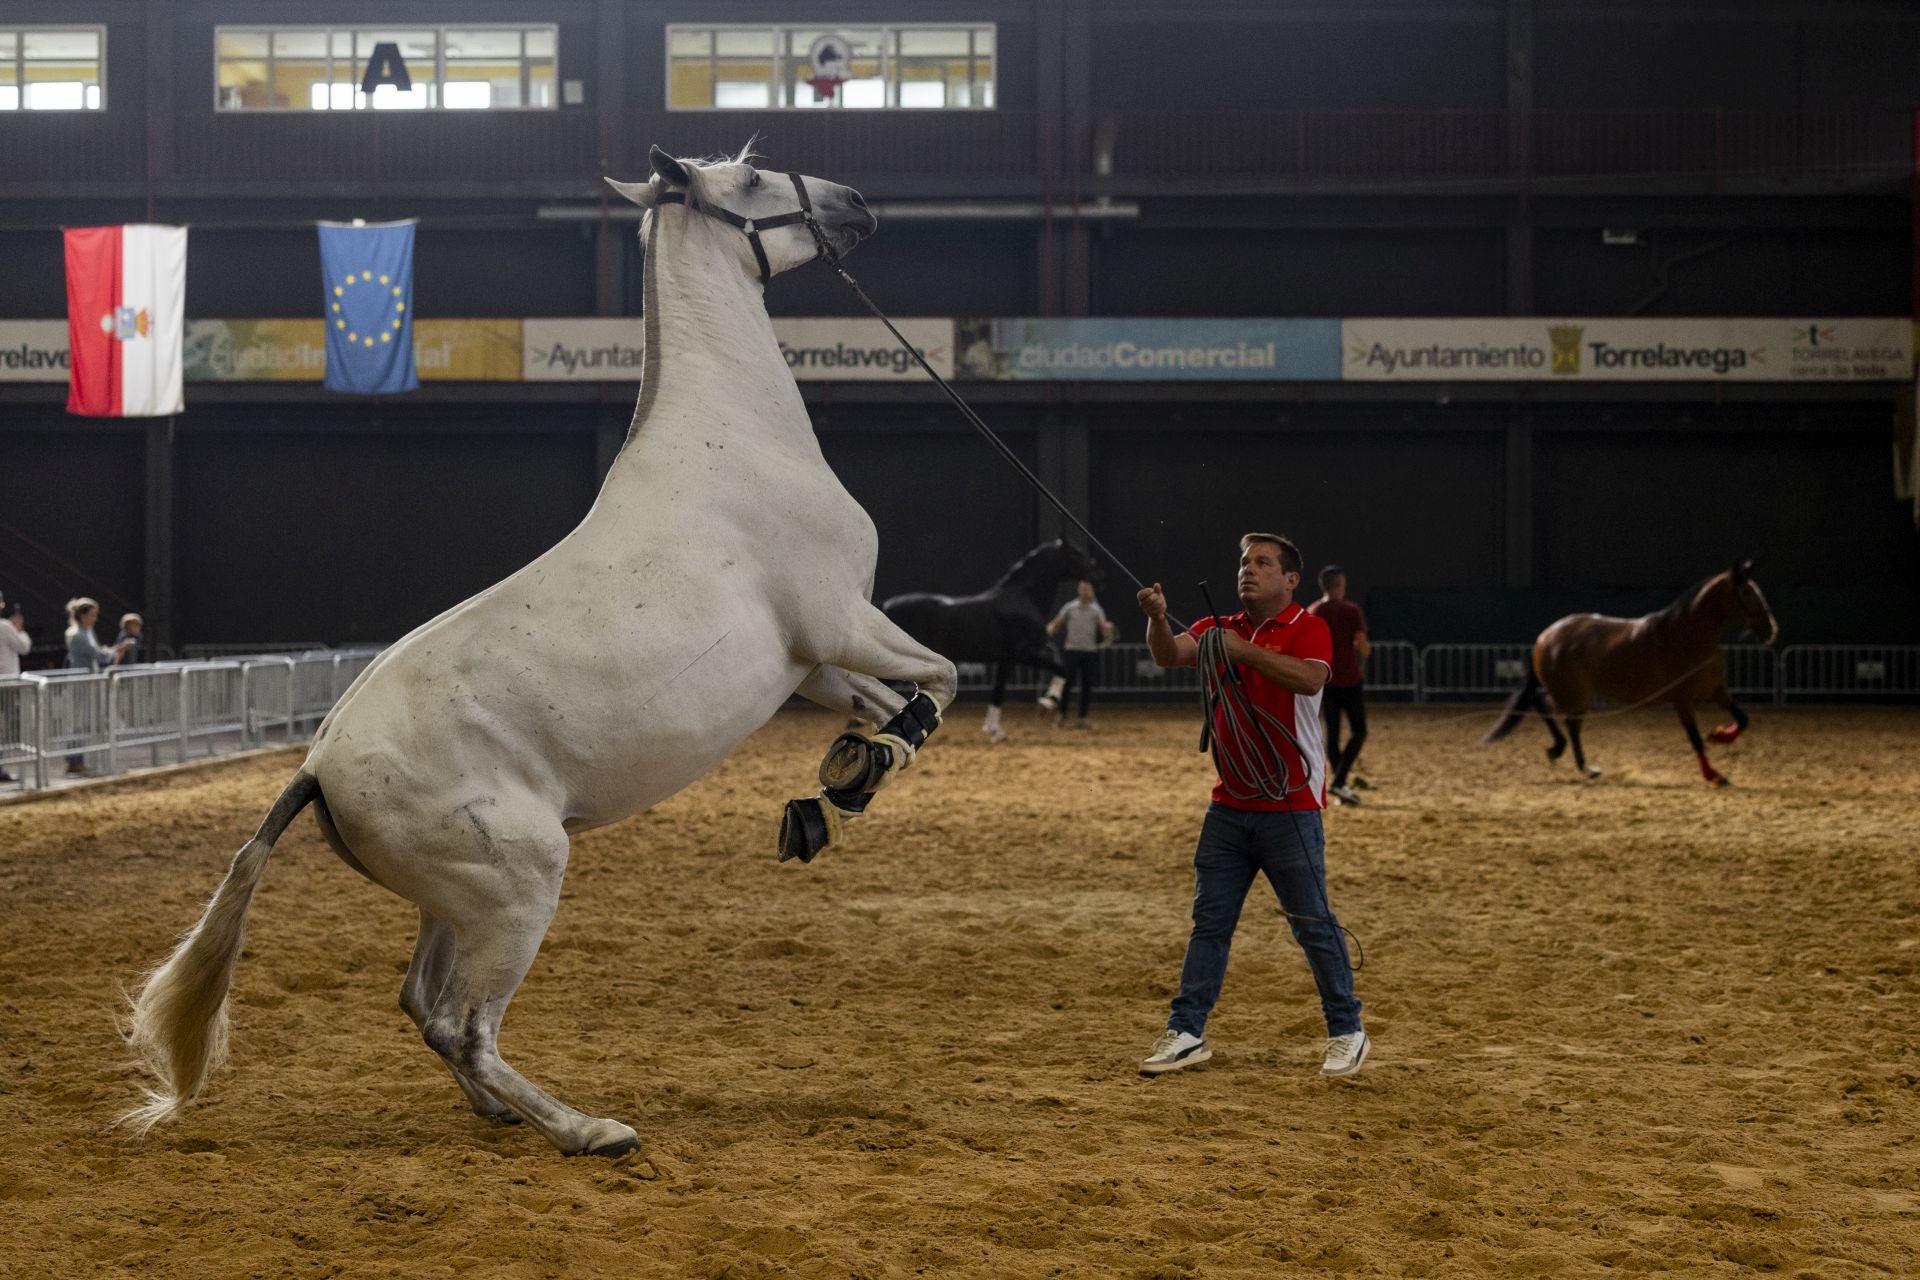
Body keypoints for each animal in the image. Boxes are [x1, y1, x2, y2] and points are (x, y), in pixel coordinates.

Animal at [121, 145, 959, 1159]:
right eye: (754, 179)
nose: (856, 204)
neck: (736, 442)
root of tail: (317, 766)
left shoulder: (812, 659)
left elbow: (887, 701)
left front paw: (849, 776)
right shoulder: (842, 618)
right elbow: (943, 677)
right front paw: (865, 770)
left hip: (455, 900)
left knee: (421, 1007)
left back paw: (504, 1114)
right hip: (519, 886)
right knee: (464, 1025)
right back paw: (586, 1128)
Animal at [879, 539, 1098, 741]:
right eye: (1077, 553)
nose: (1098, 573)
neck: (1024, 598)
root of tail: (885, 606)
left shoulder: (1008, 659)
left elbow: (998, 690)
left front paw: (994, 730)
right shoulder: (1025, 653)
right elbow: (1061, 667)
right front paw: (1048, 702)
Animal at [1483, 559, 1779, 786]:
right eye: (1746, 593)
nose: (1771, 630)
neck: (1685, 636)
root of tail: (1546, 636)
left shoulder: (1715, 691)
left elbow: (1742, 719)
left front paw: (1719, 736)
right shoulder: (1682, 702)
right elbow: (1695, 740)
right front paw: (1713, 775)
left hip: (1578, 697)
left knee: (1569, 722)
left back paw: (1585, 767)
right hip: (1571, 694)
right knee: (1544, 705)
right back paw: (1561, 751)